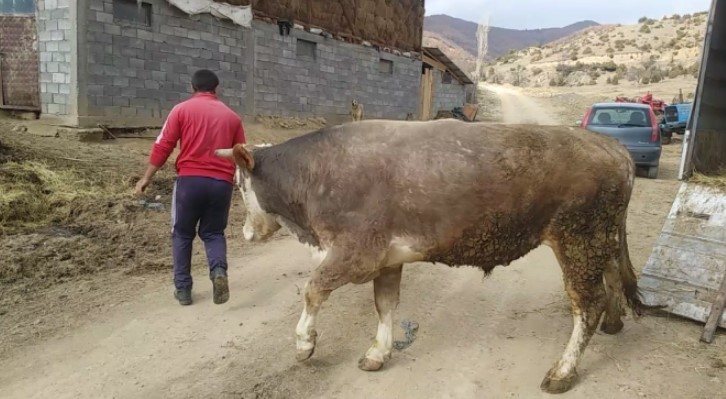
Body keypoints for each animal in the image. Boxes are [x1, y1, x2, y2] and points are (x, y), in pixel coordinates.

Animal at [215, 119, 648, 394]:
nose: (245, 233)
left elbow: (312, 290)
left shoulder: (356, 253)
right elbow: (385, 304)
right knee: (612, 280)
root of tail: (610, 146)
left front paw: (305, 344)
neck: (316, 175)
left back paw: (563, 371)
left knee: (586, 303)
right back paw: (614, 323)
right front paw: (378, 352)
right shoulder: (388, 259)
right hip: (601, 238)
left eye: (237, 184)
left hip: (578, 238)